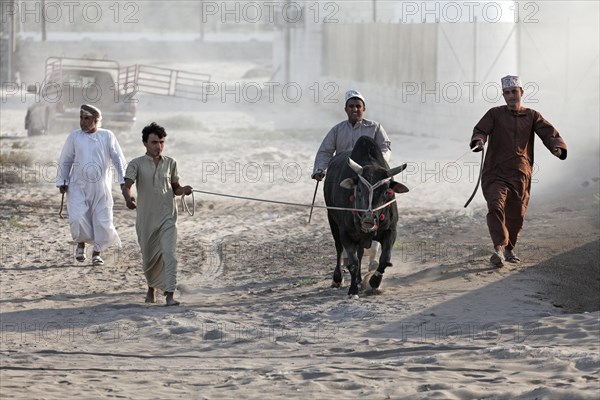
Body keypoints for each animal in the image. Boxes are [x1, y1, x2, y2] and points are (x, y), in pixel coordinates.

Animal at [324, 137, 408, 296]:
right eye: (359, 190)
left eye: (386, 192)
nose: (368, 219)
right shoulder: (345, 233)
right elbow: (353, 263)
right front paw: (352, 290)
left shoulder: (391, 230)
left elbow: (384, 259)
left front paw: (374, 282)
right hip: (332, 221)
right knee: (339, 249)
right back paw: (337, 278)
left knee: (361, 252)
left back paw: (358, 279)